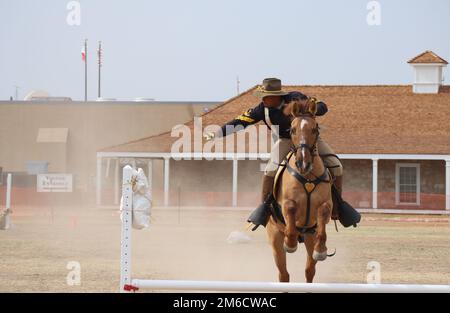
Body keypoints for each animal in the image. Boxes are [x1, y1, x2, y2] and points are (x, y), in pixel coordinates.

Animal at [268, 98, 334, 282]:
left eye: (314, 129)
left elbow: (323, 215)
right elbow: (290, 209)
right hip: (274, 239)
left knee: (309, 270)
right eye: (292, 130)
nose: (303, 163)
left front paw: (321, 250)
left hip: (309, 238)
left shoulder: (326, 204)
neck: (308, 176)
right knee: (283, 274)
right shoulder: (286, 204)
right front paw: (290, 244)